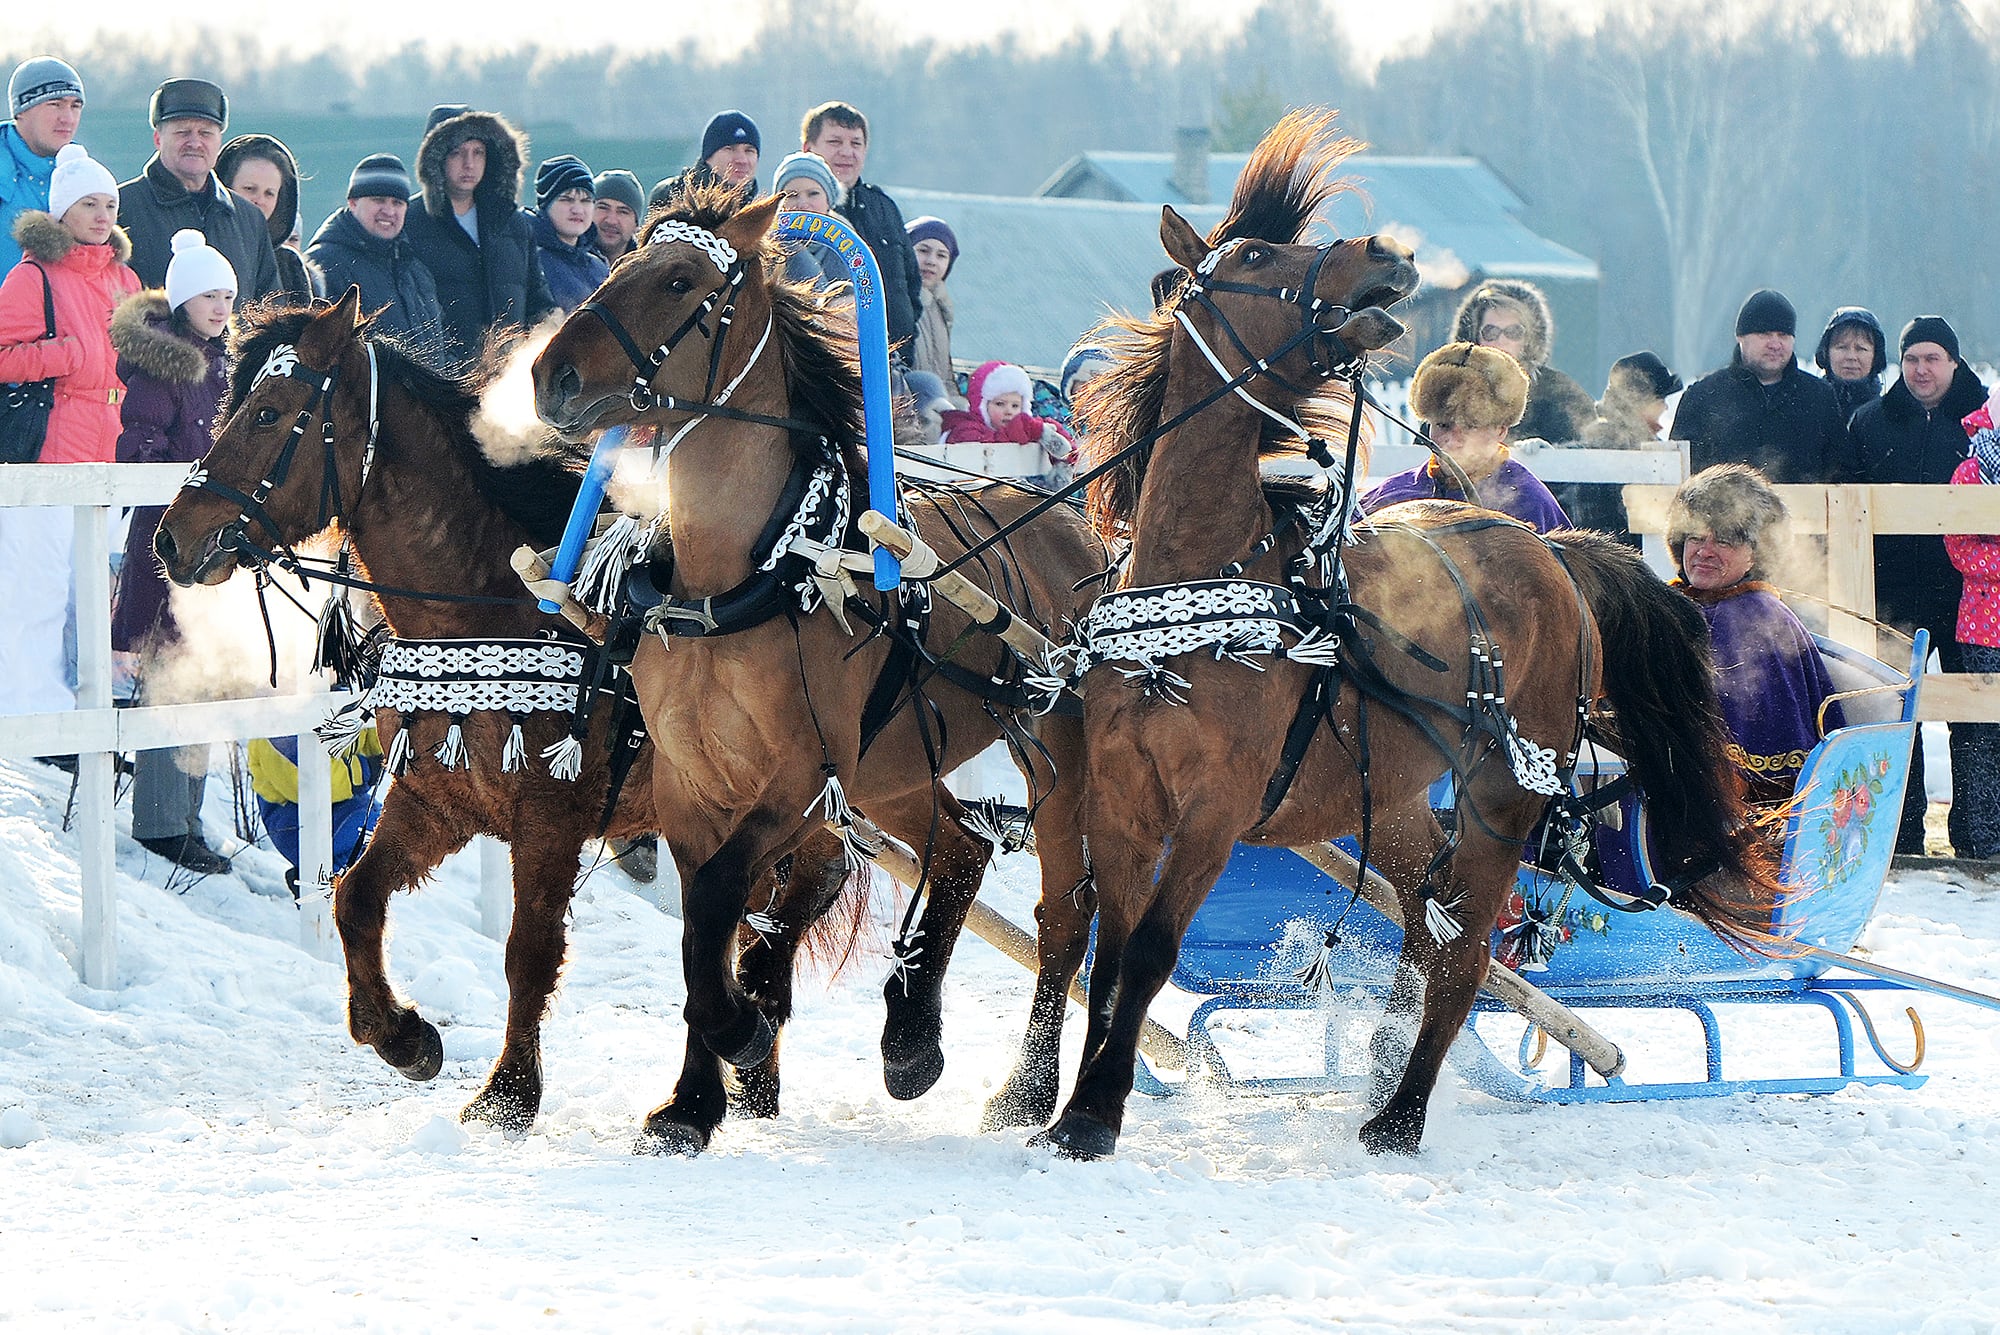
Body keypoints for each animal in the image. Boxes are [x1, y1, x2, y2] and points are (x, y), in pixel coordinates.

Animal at [158, 291, 868, 1135]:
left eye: (269, 412)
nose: (171, 538)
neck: (492, 605)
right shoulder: (436, 802)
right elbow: (355, 897)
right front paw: (402, 1035)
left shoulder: (550, 820)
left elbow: (527, 952)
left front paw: (507, 1092)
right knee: (740, 914)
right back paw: (747, 1076)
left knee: (793, 895)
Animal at [532, 182, 1112, 1151]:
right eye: (617, 263)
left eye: (680, 279)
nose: (551, 377)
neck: (741, 578)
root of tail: (1078, 527)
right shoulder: (693, 782)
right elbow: (704, 927)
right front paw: (692, 1100)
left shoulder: (799, 778)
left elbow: (715, 906)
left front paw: (738, 1032)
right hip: (888, 769)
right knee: (959, 847)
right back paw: (910, 1037)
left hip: (1044, 762)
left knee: (1059, 910)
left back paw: (1015, 1086)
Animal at [1056, 111, 1776, 1159]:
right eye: (1257, 255)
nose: (1386, 254)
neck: (1194, 582)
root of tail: (1552, 550)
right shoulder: (1120, 797)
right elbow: (1108, 957)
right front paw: (1068, 1105)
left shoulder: (1217, 810)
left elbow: (1148, 952)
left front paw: (1095, 1114)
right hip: (1394, 801)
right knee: (1422, 936)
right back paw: (1383, 1078)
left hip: (1501, 798)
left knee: (1465, 954)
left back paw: (1398, 1114)